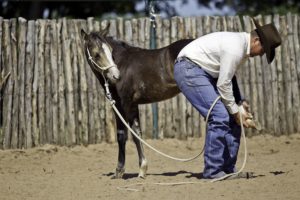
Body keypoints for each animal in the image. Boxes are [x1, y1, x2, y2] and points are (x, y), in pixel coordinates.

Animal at [80, 24, 192, 179]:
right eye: (96, 54)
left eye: (110, 52)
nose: (116, 76)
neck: (123, 63)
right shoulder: (133, 105)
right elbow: (137, 133)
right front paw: (142, 169)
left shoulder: (122, 104)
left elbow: (122, 135)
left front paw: (119, 171)